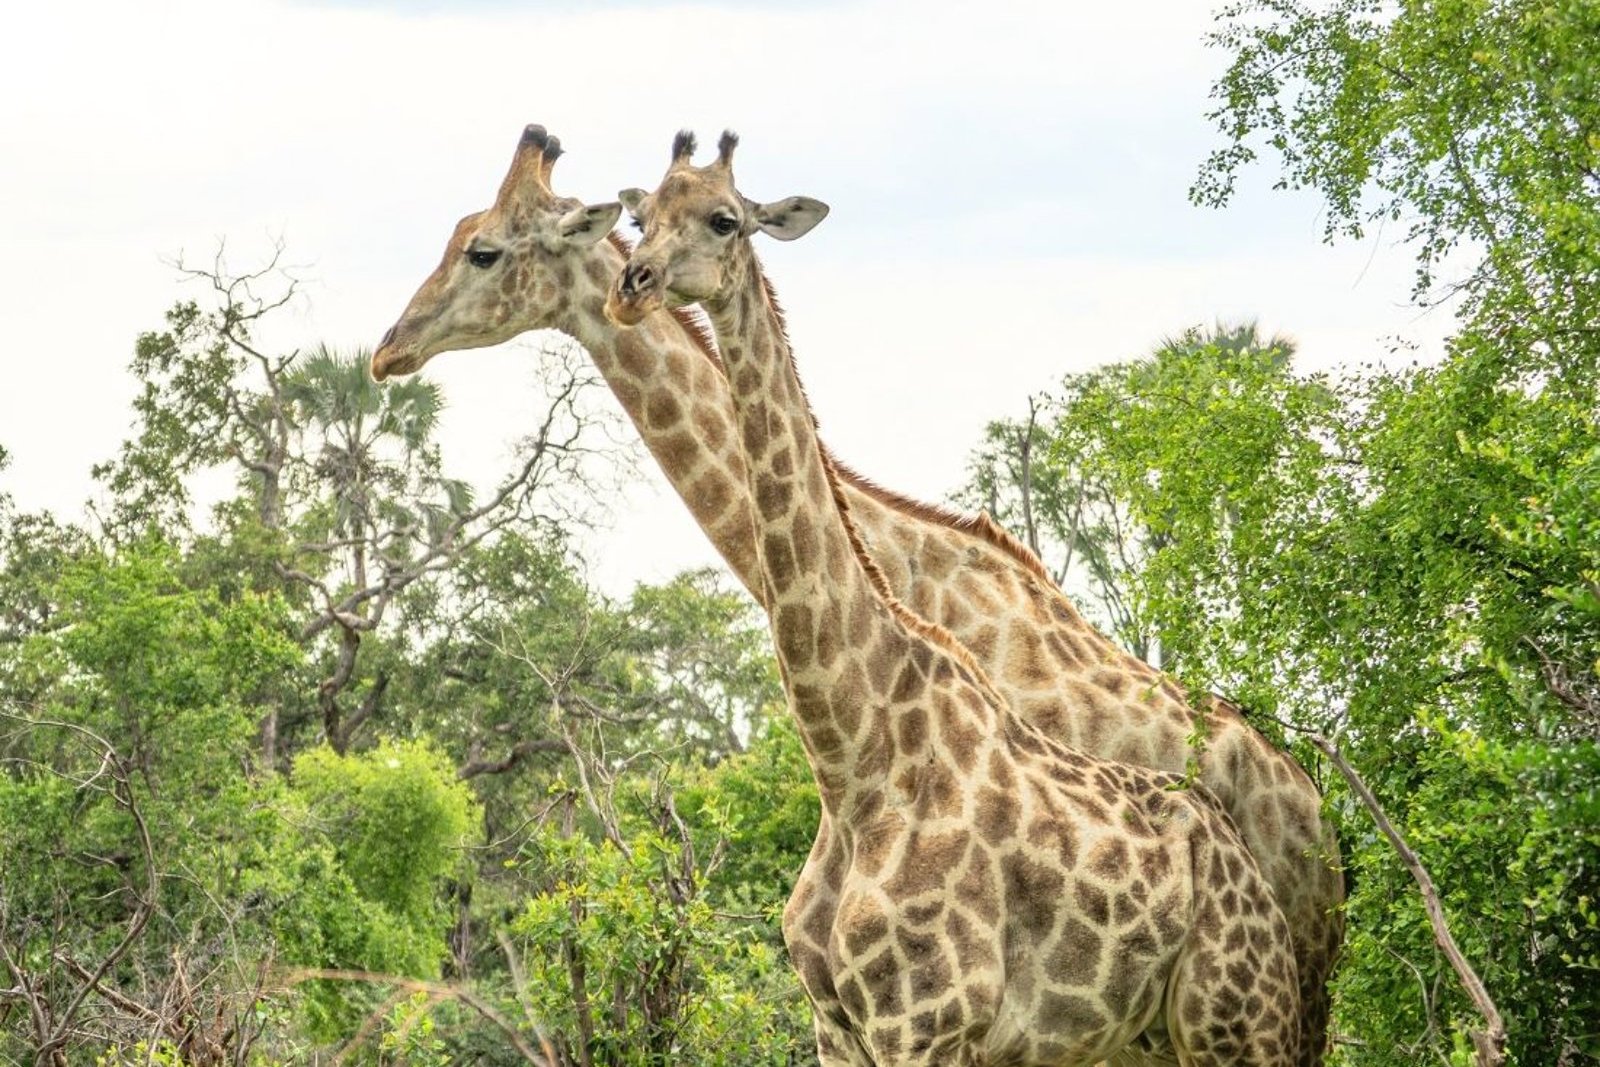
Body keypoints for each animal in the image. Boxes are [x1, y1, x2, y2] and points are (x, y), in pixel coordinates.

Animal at [371, 126, 1342, 1064]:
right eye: (642, 220)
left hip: (1264, 1009)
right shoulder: (856, 1024)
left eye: (485, 251)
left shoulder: (935, 1021)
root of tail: (1319, 816)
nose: (388, 348)